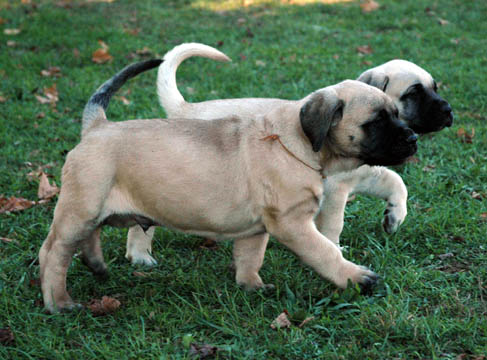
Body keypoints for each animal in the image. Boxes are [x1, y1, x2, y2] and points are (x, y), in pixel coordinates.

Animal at [40, 59, 418, 312]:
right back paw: (59, 302)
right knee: (54, 253)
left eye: (397, 113)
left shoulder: (259, 227)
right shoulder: (292, 223)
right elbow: (326, 251)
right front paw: (357, 278)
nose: (413, 138)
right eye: (377, 122)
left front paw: (252, 286)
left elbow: (251, 257)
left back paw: (96, 266)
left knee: (83, 238)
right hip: (81, 208)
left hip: (90, 210)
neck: (298, 143)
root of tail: (97, 126)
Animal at [125, 43, 454, 266]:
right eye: (413, 93)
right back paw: (141, 256)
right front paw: (335, 250)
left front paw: (394, 216)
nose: (449, 110)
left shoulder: (366, 172)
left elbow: (396, 182)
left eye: (435, 88)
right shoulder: (335, 192)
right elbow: (333, 225)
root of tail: (185, 109)